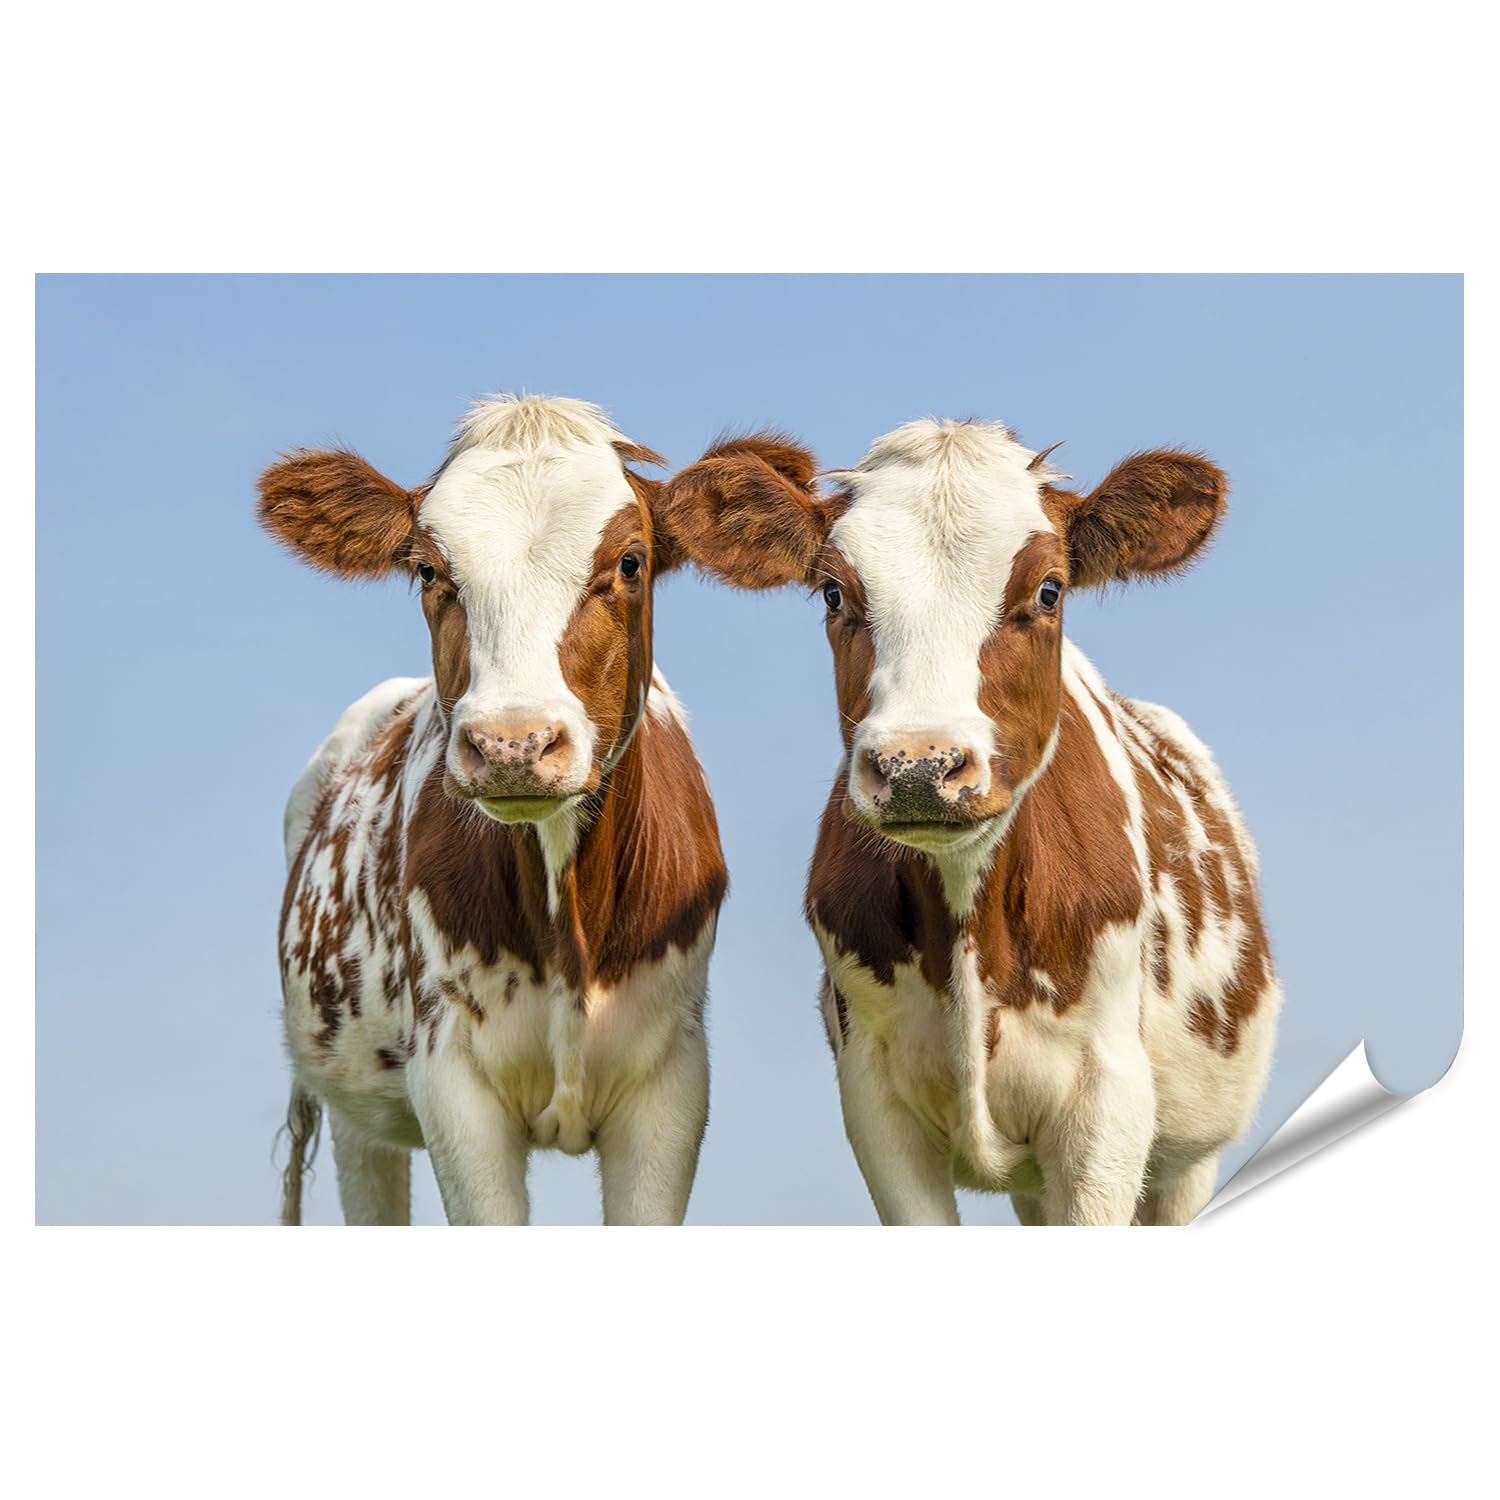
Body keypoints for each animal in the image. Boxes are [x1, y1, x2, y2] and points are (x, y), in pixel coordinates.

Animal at [259, 394, 806, 1225]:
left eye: (630, 562)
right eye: (428, 569)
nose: (512, 742)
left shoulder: (672, 1087)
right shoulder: (452, 1084)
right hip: (357, 1107)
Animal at [658, 417, 1282, 1225]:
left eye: (1048, 589)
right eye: (833, 591)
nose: (919, 765)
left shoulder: (1107, 1105)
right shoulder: (876, 1101)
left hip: (1187, 1160)